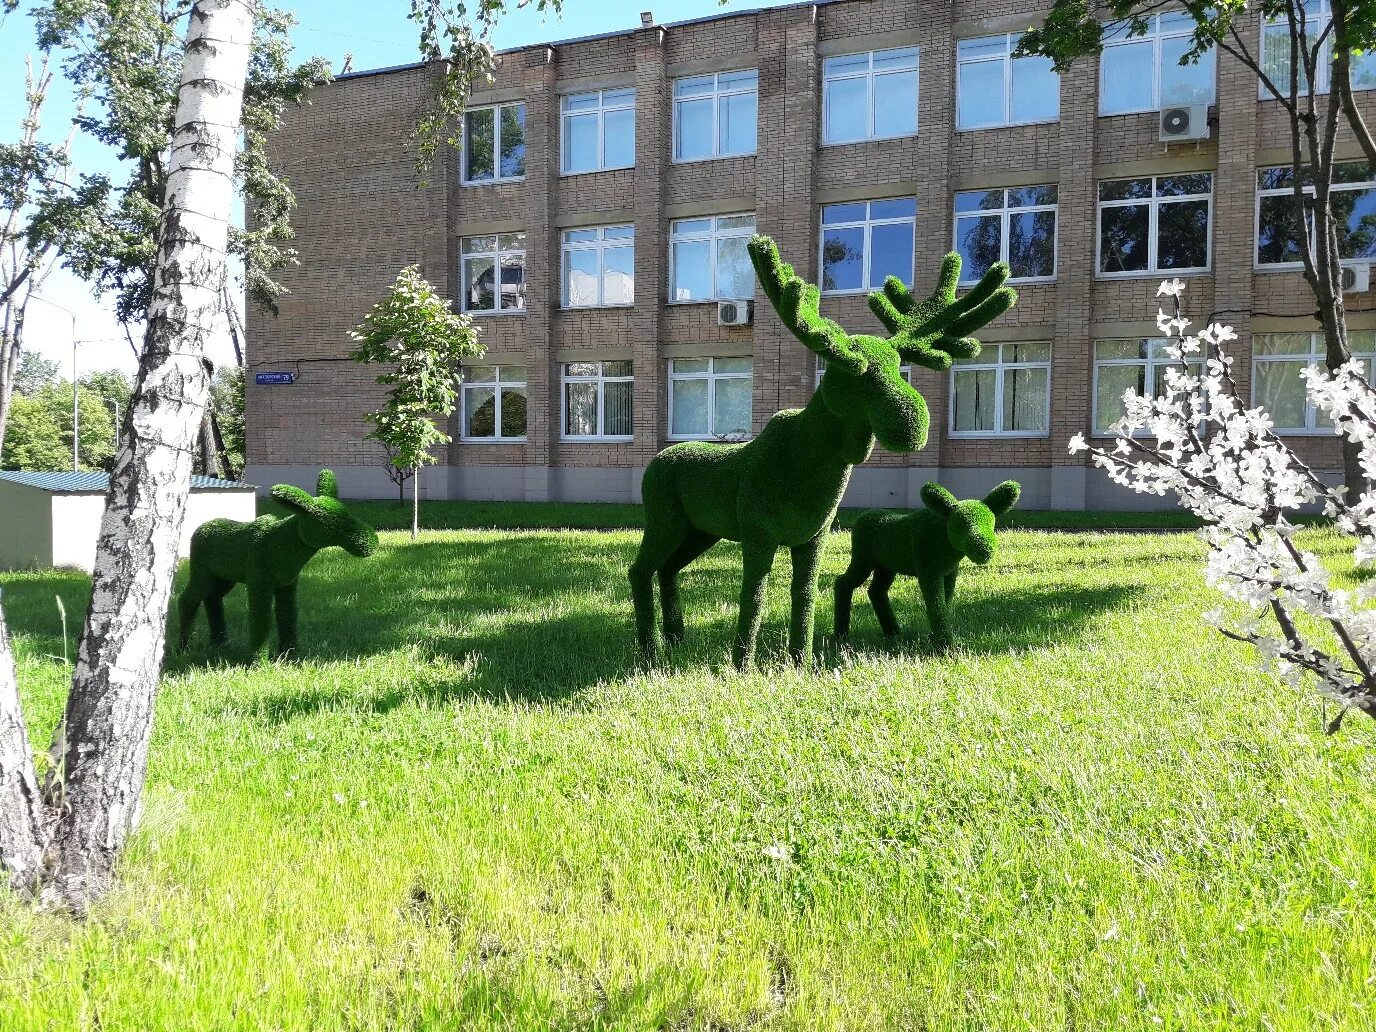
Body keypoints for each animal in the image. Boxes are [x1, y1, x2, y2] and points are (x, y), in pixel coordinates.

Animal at [181, 470, 382, 663]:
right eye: (328, 522)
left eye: (347, 513)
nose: (370, 541)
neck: (289, 554)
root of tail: (199, 530)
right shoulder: (259, 582)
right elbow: (261, 619)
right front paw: (258, 661)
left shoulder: (287, 583)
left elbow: (287, 616)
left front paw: (290, 654)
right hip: (202, 572)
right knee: (187, 599)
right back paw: (185, 647)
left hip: (224, 577)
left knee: (212, 598)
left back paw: (220, 642)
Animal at [825, 481, 1023, 649]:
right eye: (961, 525)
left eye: (991, 523)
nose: (985, 550)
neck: (947, 544)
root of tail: (860, 519)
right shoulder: (928, 572)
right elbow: (935, 607)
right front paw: (944, 645)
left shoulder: (949, 573)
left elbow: (944, 604)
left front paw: (935, 638)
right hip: (863, 560)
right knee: (843, 582)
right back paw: (841, 633)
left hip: (886, 567)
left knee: (876, 591)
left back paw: (892, 631)